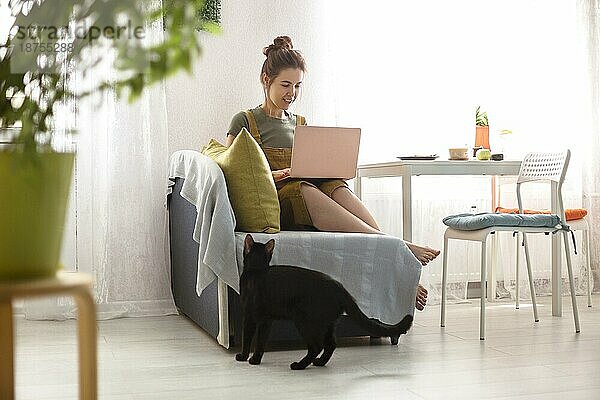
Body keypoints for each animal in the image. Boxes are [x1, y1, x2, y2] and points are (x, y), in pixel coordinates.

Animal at [234, 233, 412, 370]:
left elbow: (248, 338)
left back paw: (299, 365)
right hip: (328, 323)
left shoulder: (251, 316)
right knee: (331, 344)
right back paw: (319, 363)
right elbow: (261, 341)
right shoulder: (267, 320)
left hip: (303, 319)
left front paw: (245, 357)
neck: (256, 270)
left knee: (316, 346)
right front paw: (255, 360)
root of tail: (339, 286)